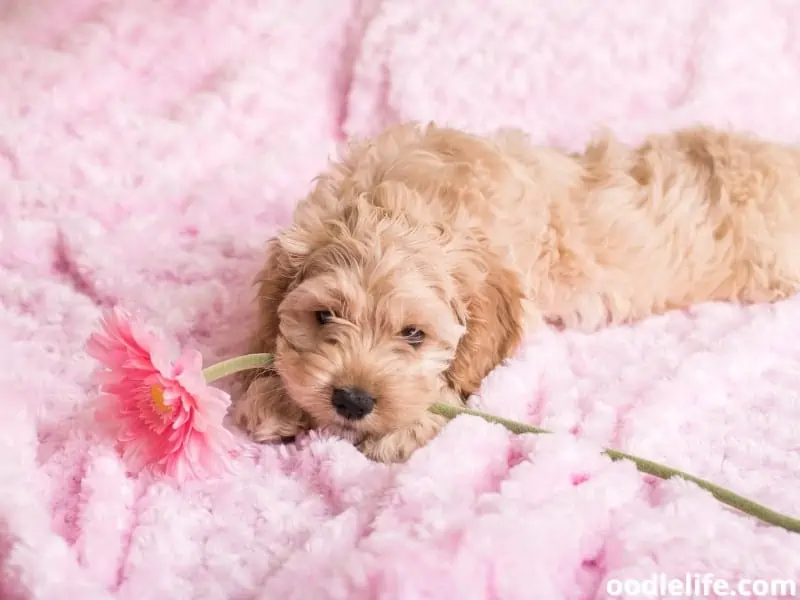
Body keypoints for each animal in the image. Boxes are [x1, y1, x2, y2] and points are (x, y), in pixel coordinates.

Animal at [234, 120, 800, 460]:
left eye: (414, 334)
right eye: (324, 316)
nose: (351, 400)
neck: (404, 199)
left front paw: (405, 428)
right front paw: (273, 395)